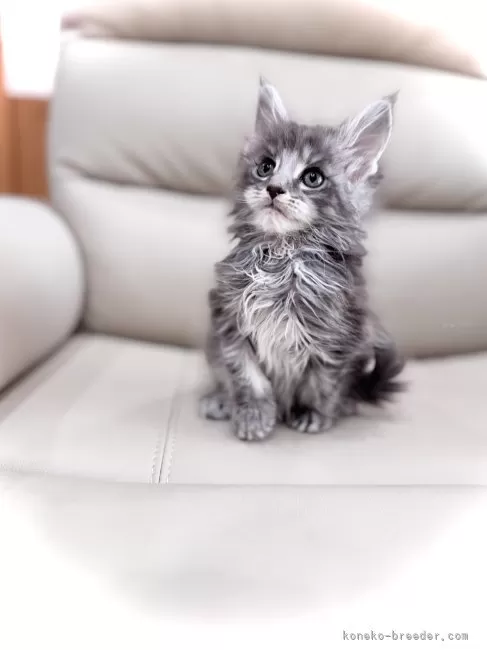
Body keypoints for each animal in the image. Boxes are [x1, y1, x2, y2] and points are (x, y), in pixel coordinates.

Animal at [200, 78, 405, 441]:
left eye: (313, 177)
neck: (283, 256)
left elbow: (321, 382)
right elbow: (245, 375)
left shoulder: (339, 335)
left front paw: (311, 414)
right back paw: (221, 401)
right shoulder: (228, 318)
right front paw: (254, 415)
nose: (273, 188)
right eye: (266, 167)